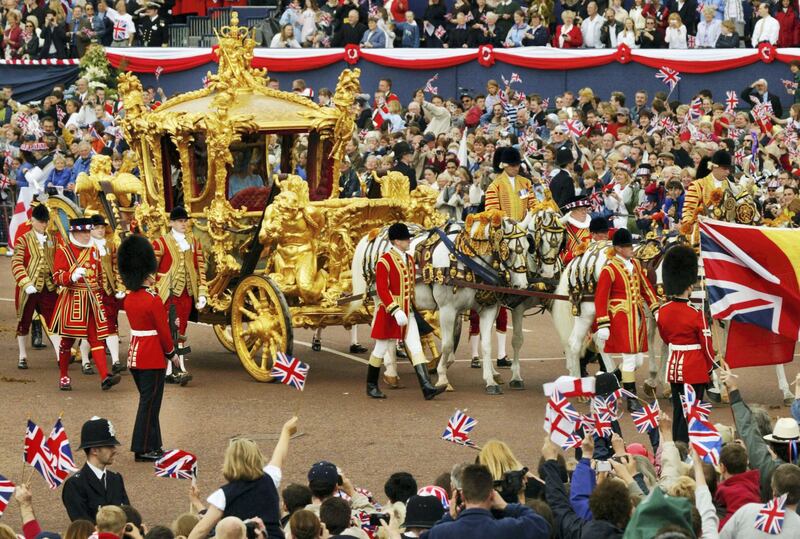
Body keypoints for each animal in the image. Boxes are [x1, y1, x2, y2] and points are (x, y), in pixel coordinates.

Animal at [352, 212, 532, 396]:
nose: (521, 286)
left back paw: (393, 373)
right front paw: (443, 378)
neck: (467, 263)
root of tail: (374, 233)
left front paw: (490, 380)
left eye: (527, 248)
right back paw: (390, 371)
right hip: (382, 298)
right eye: (509, 250)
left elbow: (487, 345)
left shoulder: (488, 309)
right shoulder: (447, 310)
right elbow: (447, 345)